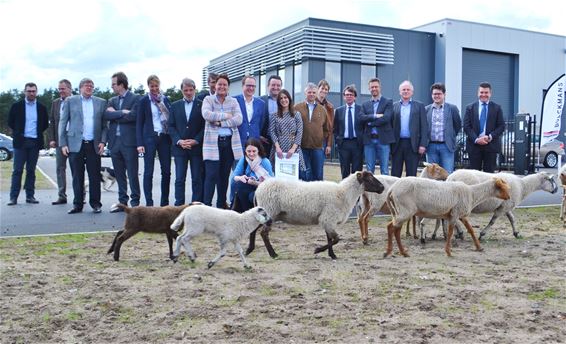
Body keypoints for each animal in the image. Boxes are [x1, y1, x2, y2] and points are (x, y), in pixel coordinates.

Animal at [248, 171, 386, 260]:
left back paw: (250, 249)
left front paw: (332, 255)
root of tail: (258, 189)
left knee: (253, 229)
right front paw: (318, 250)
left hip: (268, 214)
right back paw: (273, 254)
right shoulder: (328, 218)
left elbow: (330, 238)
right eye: (369, 178)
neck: (343, 193)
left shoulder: (327, 220)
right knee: (264, 234)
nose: (382, 188)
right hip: (270, 210)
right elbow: (336, 239)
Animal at [384, 176, 512, 256]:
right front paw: (448, 251)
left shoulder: (460, 214)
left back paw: (397, 252)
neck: (472, 194)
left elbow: (470, 229)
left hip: (399, 211)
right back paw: (394, 252)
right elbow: (450, 232)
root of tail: (392, 189)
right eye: (503, 188)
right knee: (391, 228)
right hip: (405, 210)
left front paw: (479, 247)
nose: (509, 197)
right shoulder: (455, 213)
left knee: (394, 228)